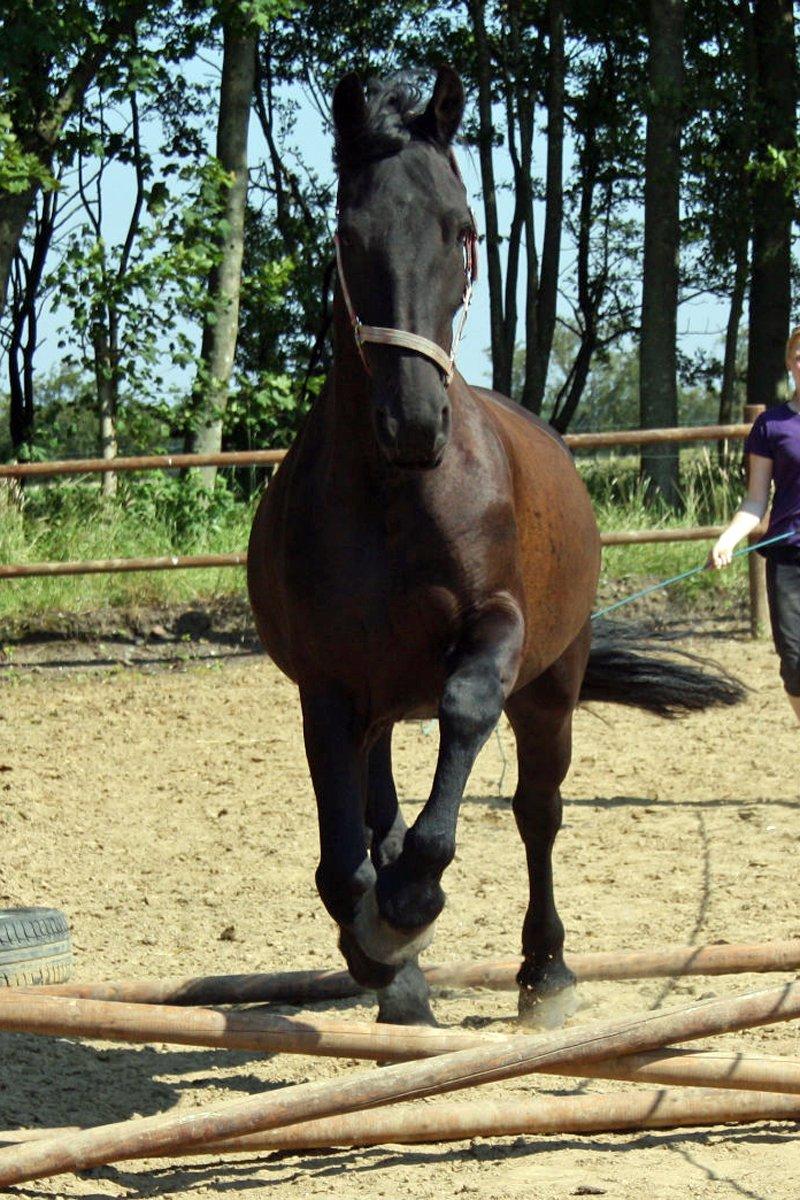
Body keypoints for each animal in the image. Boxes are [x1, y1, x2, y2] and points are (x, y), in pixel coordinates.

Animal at [248, 65, 743, 1027]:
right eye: (350, 233)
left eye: (463, 230)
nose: (412, 422)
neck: (396, 497)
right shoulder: (329, 685)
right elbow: (342, 860)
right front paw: (380, 949)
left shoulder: (498, 631)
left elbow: (468, 711)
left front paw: (412, 903)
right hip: (380, 706)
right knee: (379, 817)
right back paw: (403, 983)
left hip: (553, 686)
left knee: (536, 811)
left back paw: (545, 973)